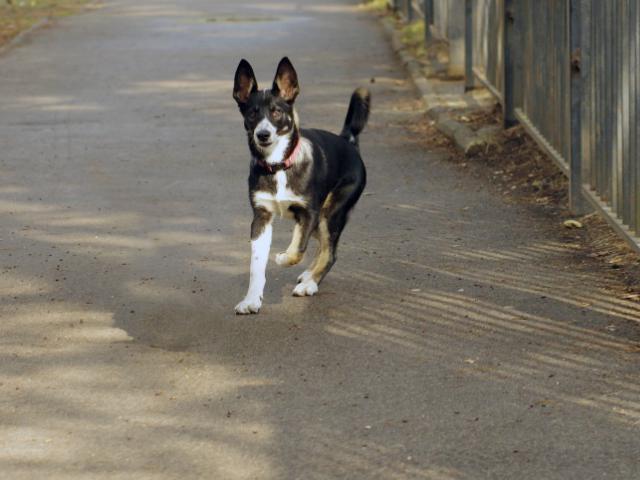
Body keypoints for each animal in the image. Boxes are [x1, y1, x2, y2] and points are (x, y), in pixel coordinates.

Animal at [232, 57, 370, 316]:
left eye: (276, 111)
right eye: (252, 113)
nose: (263, 135)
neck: (278, 166)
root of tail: (347, 140)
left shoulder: (309, 213)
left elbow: (297, 249)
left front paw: (282, 257)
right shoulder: (261, 218)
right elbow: (257, 266)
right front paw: (252, 299)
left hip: (330, 213)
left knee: (330, 252)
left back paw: (310, 284)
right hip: (322, 220)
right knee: (323, 247)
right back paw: (309, 276)